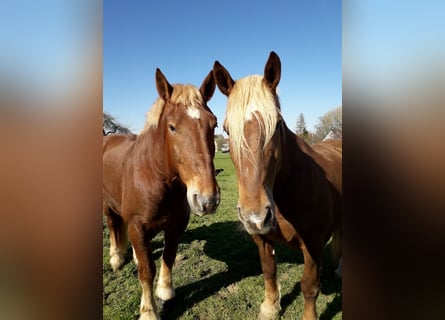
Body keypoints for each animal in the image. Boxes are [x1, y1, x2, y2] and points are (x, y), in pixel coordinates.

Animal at [104, 69, 222, 318]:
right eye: (172, 127)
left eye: (214, 124)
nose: (207, 199)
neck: (155, 177)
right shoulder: (137, 226)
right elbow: (147, 270)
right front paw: (149, 311)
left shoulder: (176, 226)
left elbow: (168, 256)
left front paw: (165, 291)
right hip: (107, 206)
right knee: (112, 226)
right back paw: (116, 258)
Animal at [213, 52, 342, 320]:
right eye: (227, 129)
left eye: (278, 124)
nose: (255, 216)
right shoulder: (262, 239)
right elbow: (269, 271)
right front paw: (270, 307)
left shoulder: (313, 246)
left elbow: (309, 286)